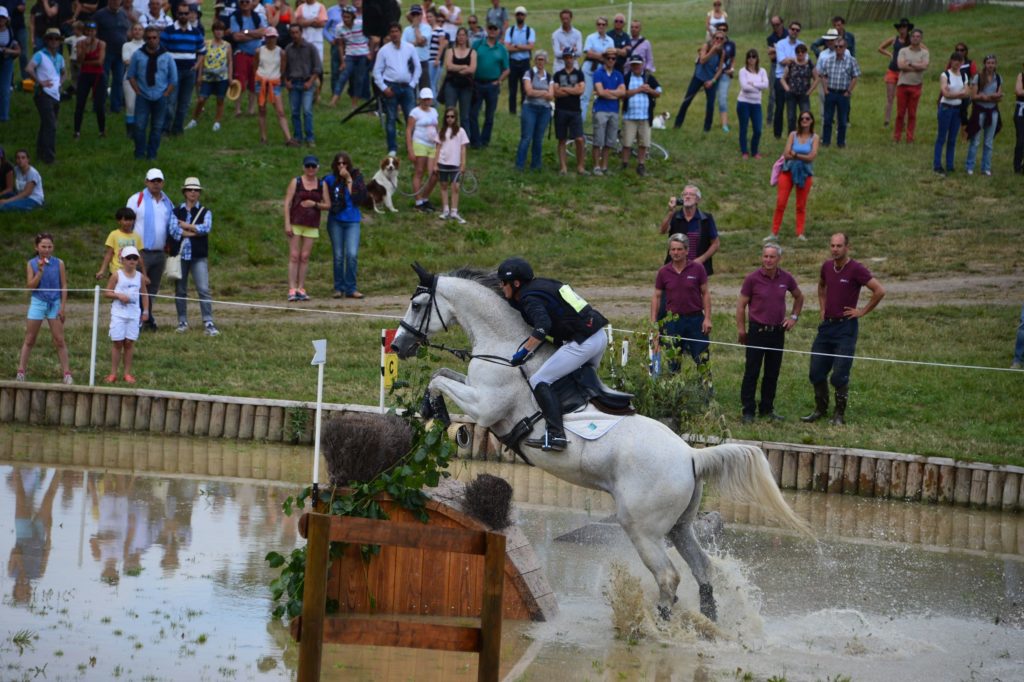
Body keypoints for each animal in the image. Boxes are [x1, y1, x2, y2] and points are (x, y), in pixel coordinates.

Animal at [393, 266, 815, 622]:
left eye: (417, 305)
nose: (398, 346)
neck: (503, 343)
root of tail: (691, 455)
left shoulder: (485, 407)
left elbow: (438, 379)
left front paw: (436, 412)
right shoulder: (476, 391)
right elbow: (442, 371)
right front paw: (432, 410)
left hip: (642, 527)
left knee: (669, 578)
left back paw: (656, 628)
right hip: (679, 525)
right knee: (701, 567)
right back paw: (708, 623)